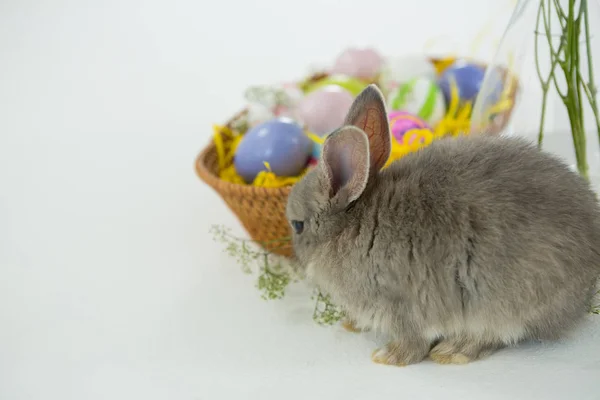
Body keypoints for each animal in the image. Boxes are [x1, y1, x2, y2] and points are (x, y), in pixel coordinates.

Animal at [288, 83, 600, 366]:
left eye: (297, 225)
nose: (296, 259)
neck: (353, 222)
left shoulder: (399, 305)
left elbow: (413, 343)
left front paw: (387, 357)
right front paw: (352, 324)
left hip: (502, 303)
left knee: (494, 335)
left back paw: (451, 352)